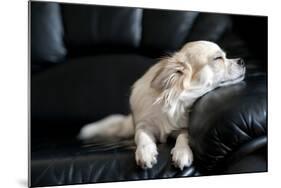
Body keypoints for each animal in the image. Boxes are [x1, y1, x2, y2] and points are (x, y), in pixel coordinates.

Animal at [77, 41, 244, 170]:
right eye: (218, 58)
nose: (242, 61)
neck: (175, 101)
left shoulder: (182, 128)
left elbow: (184, 136)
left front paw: (182, 153)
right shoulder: (143, 125)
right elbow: (142, 137)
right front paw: (145, 153)